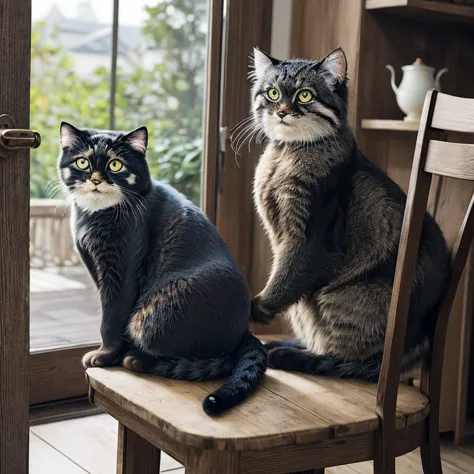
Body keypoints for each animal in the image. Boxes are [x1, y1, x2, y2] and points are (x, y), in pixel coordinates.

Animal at [57, 122, 266, 414]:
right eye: (82, 162)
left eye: (116, 165)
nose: (96, 179)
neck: (96, 216)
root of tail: (244, 330)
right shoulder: (96, 269)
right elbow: (108, 312)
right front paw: (112, 354)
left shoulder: (122, 269)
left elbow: (112, 317)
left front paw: (105, 355)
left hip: (152, 315)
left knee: (207, 356)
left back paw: (136, 360)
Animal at [246, 48, 450, 382]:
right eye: (273, 93)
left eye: (304, 95)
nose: (282, 111)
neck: (287, 155)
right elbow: (284, 273)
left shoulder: (308, 237)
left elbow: (287, 275)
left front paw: (259, 307)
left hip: (341, 300)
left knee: (348, 360)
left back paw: (290, 354)